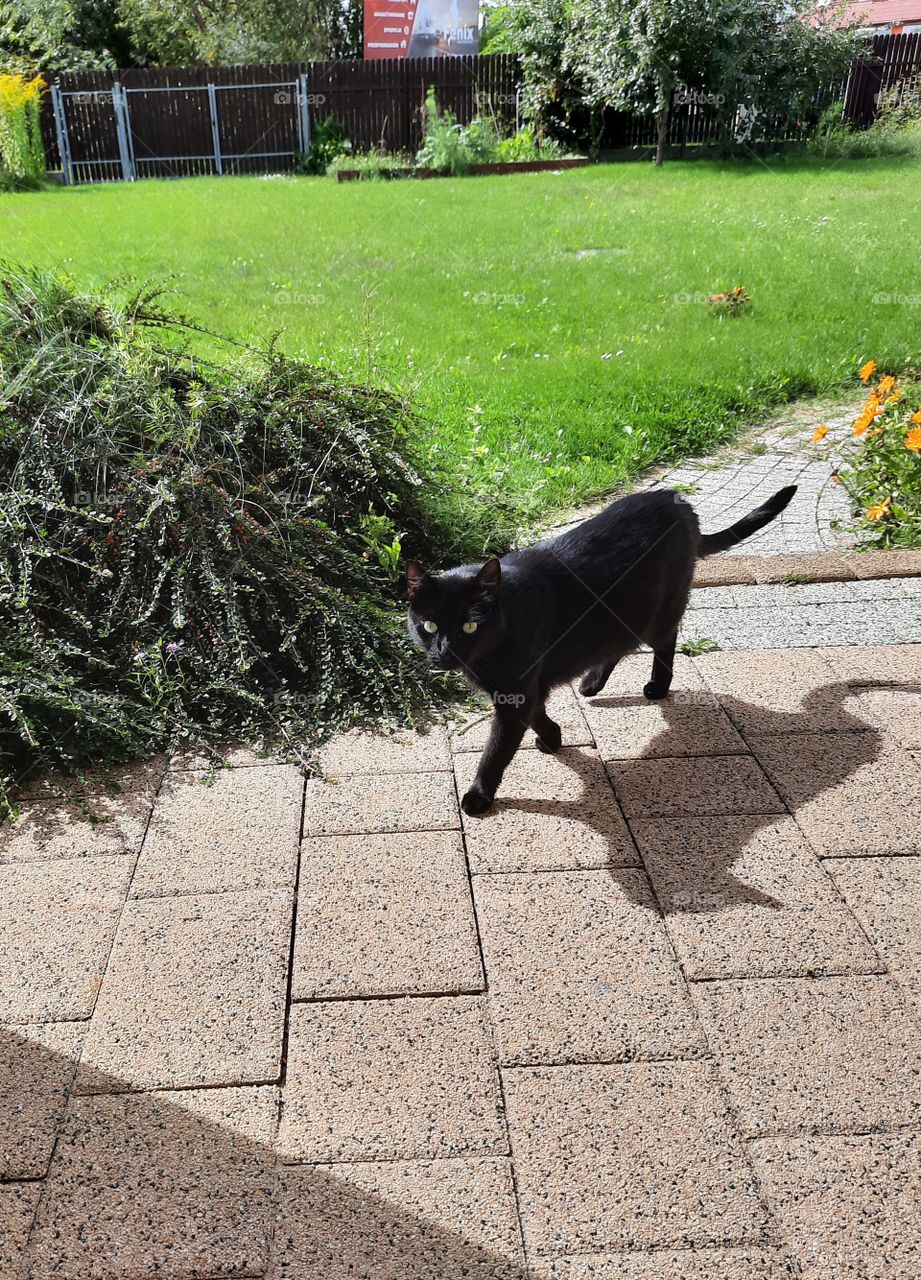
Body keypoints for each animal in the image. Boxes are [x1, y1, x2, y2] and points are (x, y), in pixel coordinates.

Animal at [406, 483, 793, 814]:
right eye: (429, 626)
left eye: (470, 626)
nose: (445, 653)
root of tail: (678, 502)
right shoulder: (524, 688)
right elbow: (537, 713)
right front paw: (554, 738)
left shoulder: (516, 692)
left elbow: (497, 750)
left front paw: (479, 795)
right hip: (624, 613)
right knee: (620, 644)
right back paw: (592, 684)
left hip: (657, 612)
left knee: (665, 640)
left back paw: (657, 686)